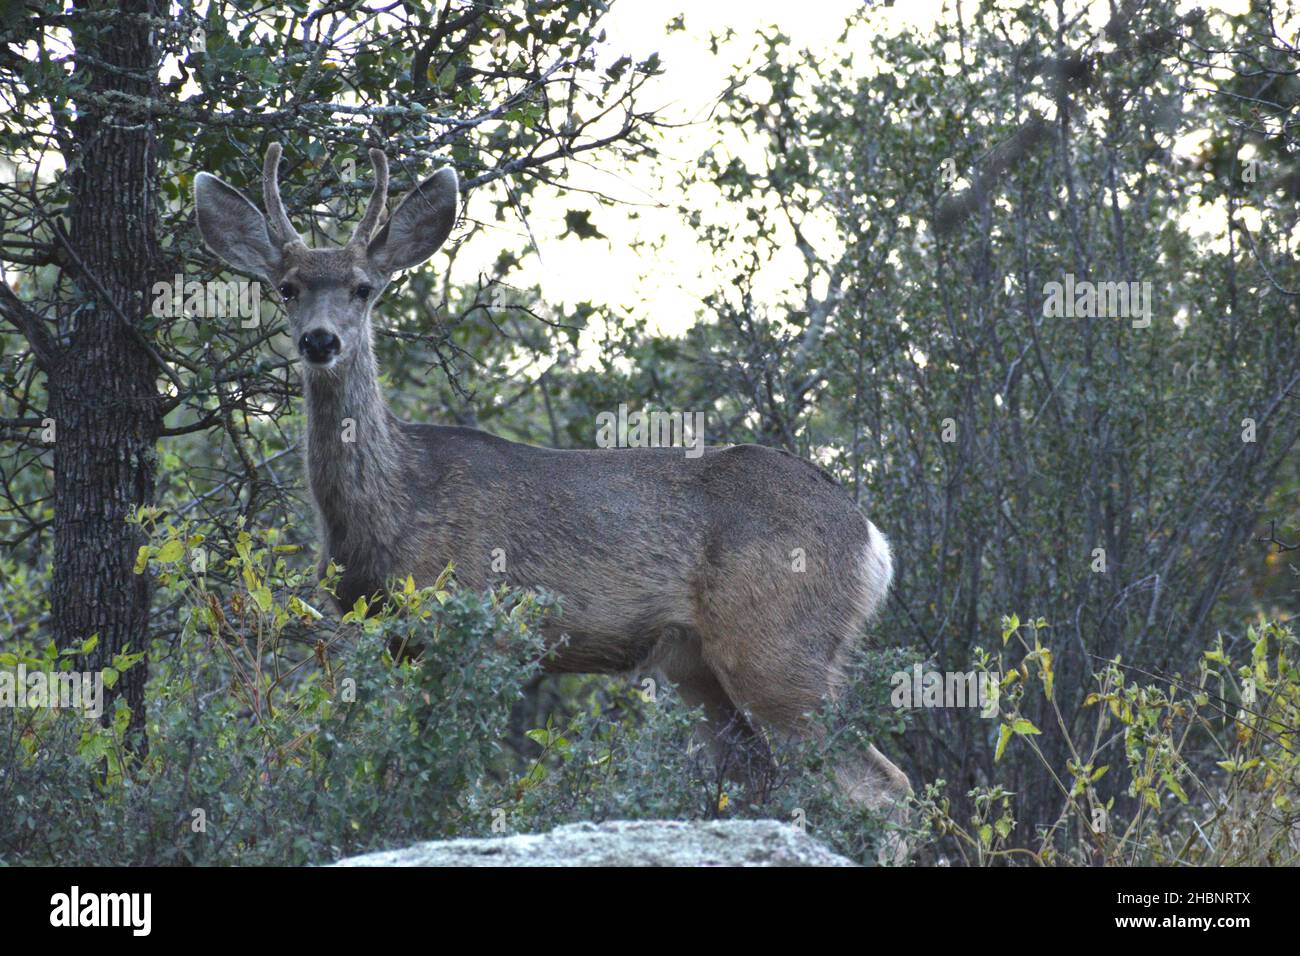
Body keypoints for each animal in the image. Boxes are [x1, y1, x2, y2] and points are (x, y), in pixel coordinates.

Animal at [195, 143, 915, 853]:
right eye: (287, 287)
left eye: (363, 289)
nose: (320, 340)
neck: (396, 504)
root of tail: (871, 539)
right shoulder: (388, 640)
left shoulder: (480, 629)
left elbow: (454, 780)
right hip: (695, 663)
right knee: (756, 772)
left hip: (777, 642)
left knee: (884, 785)